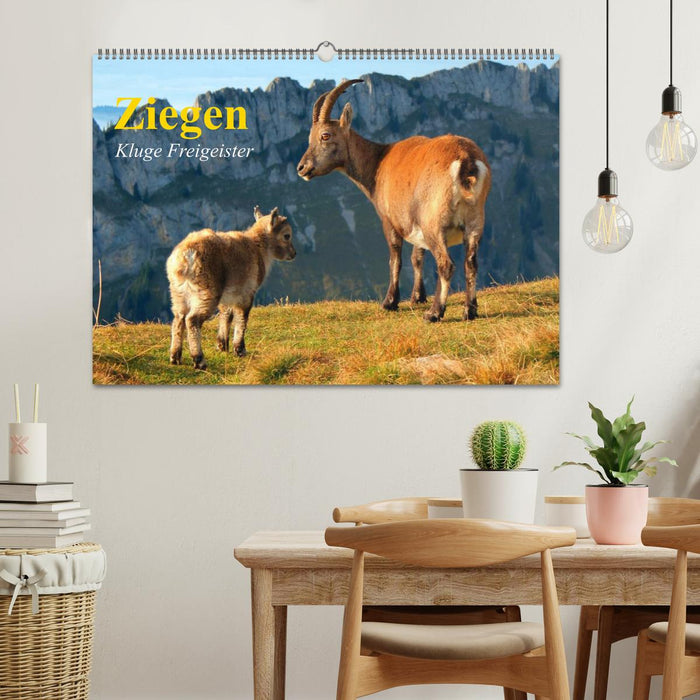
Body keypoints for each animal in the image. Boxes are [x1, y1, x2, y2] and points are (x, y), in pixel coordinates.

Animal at [166, 206, 295, 369]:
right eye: (286, 235)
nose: (294, 254)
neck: (259, 247)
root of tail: (186, 256)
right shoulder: (246, 293)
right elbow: (241, 318)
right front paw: (240, 349)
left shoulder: (228, 295)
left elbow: (226, 315)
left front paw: (222, 345)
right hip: (207, 292)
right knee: (192, 320)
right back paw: (199, 360)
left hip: (178, 292)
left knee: (179, 318)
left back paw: (175, 357)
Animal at [297, 79, 491, 322]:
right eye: (310, 138)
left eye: (325, 135)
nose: (302, 168)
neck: (378, 163)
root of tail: (466, 161)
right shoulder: (414, 222)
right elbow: (417, 256)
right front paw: (417, 296)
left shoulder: (390, 221)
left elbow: (395, 259)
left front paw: (390, 302)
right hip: (474, 221)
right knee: (471, 263)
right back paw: (469, 310)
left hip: (434, 222)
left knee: (446, 264)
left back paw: (434, 313)